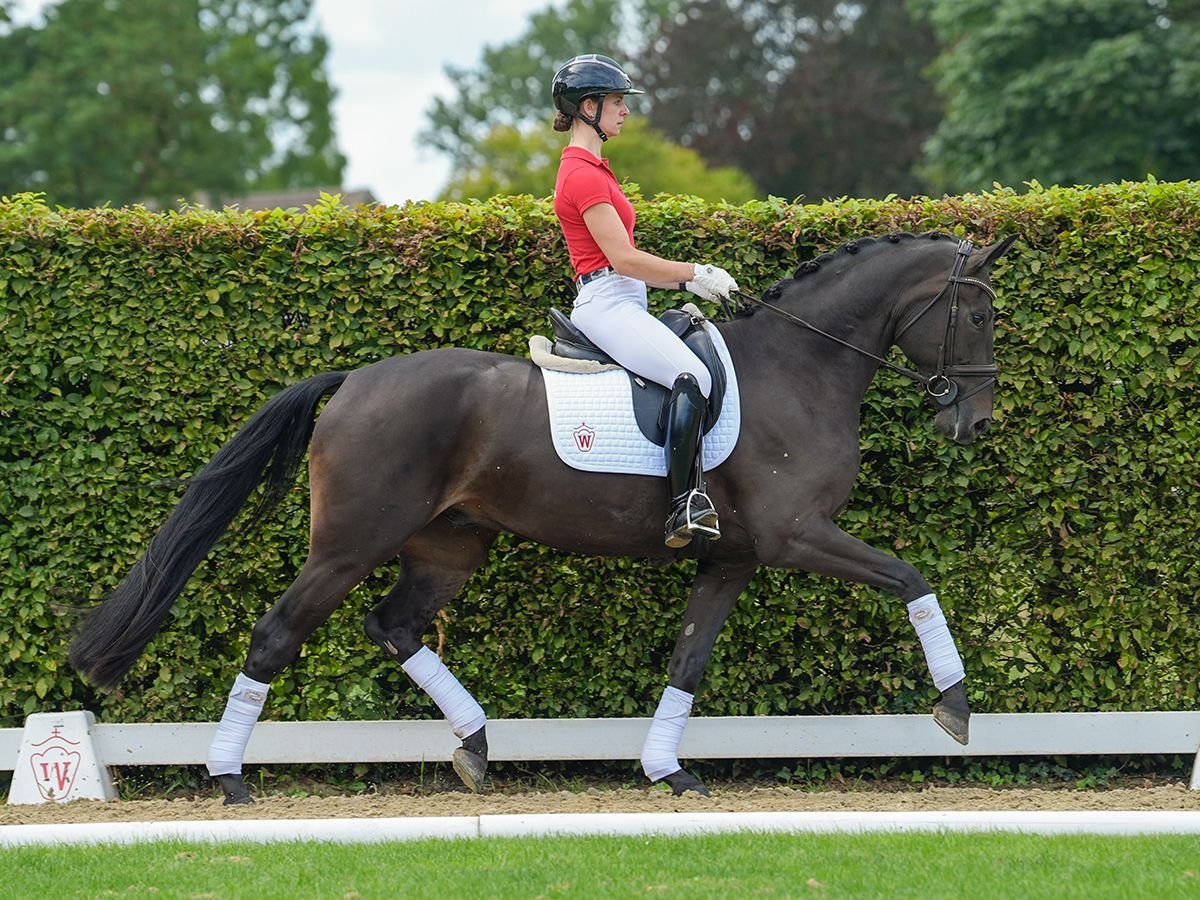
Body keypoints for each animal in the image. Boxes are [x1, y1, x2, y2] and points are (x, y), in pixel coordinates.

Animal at [70, 232, 1017, 801]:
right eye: (976, 313)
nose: (971, 422)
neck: (802, 365)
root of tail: (353, 381)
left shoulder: (734, 559)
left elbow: (689, 659)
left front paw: (666, 770)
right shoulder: (797, 536)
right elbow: (910, 577)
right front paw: (956, 707)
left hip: (447, 547)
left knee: (394, 624)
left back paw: (477, 746)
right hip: (348, 545)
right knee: (276, 635)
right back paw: (230, 778)